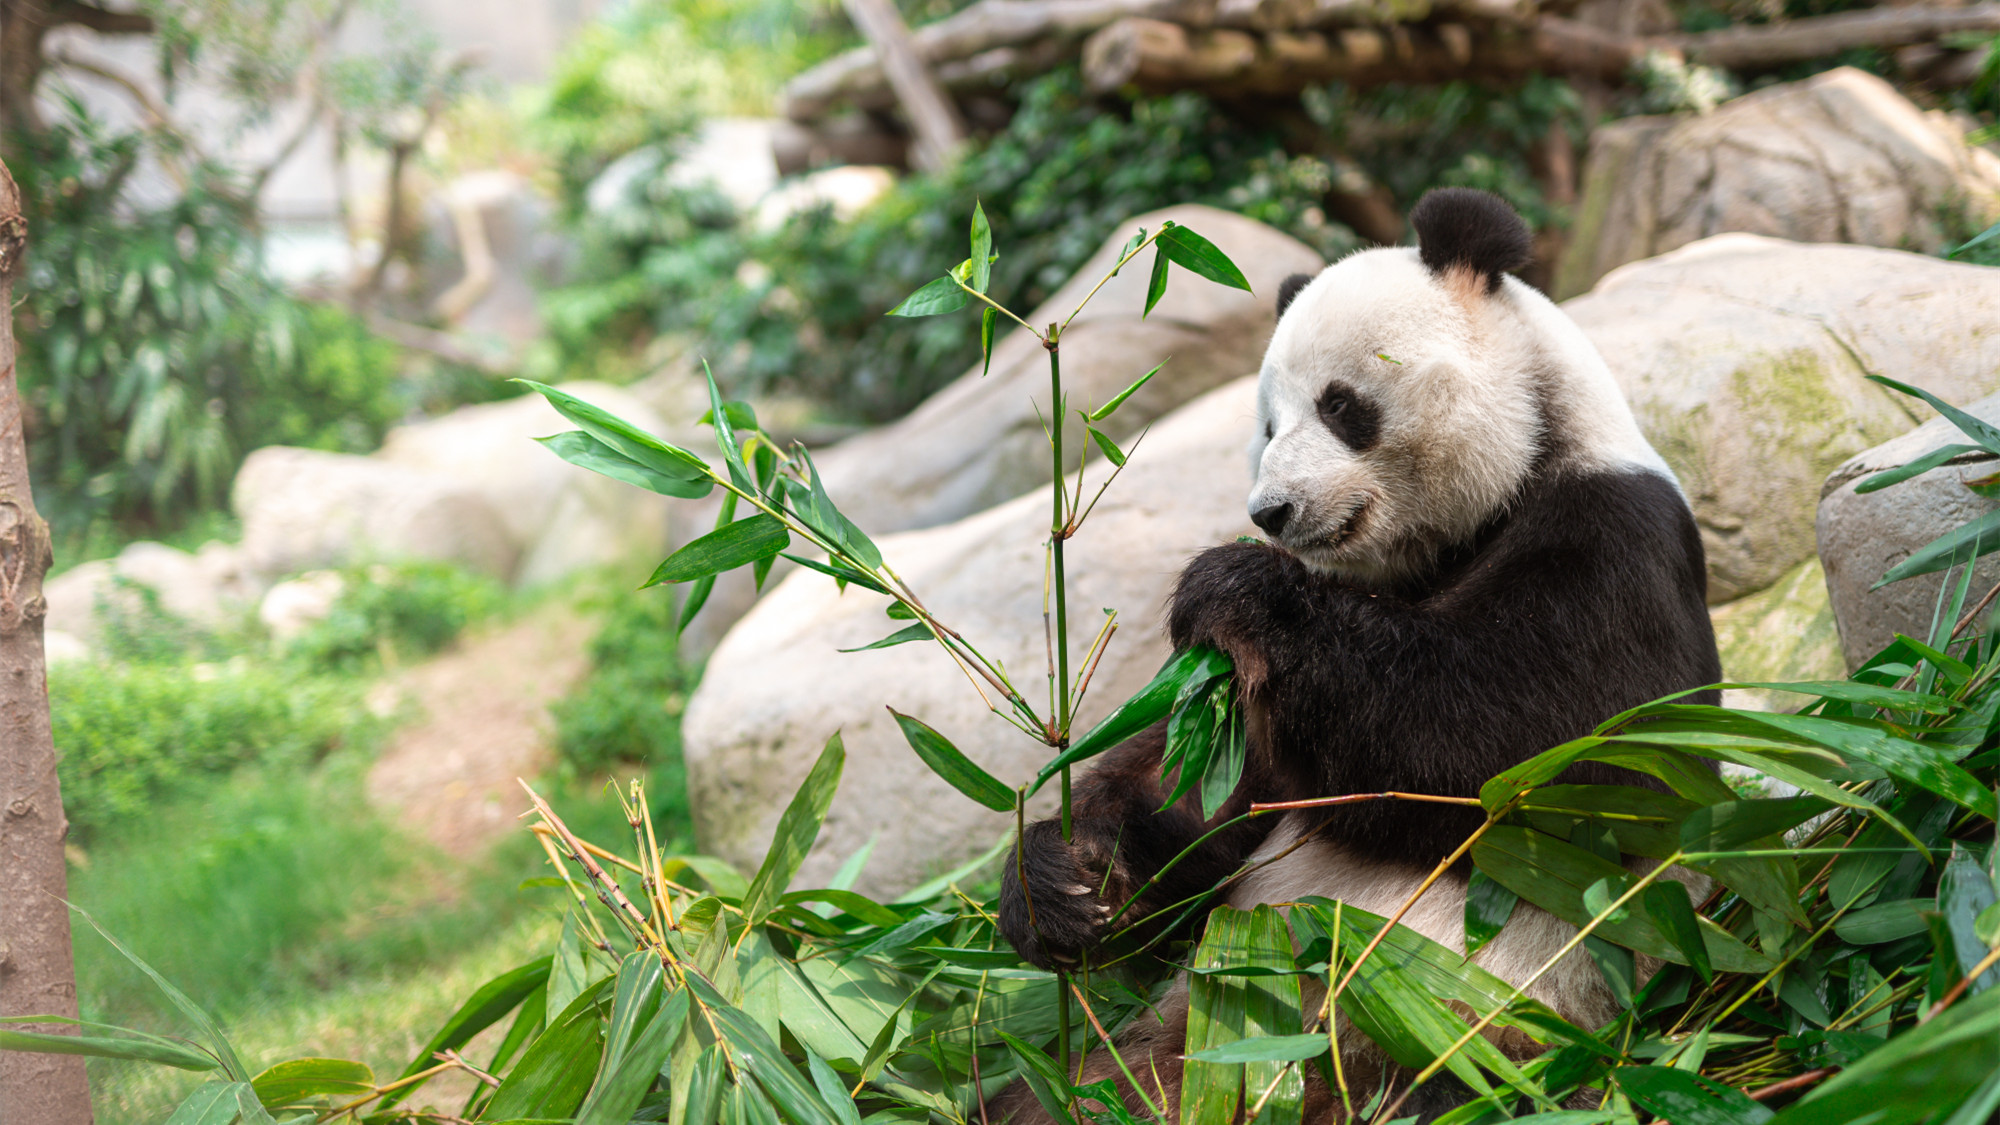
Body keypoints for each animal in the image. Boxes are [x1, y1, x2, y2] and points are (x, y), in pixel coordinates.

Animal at [992, 188, 1728, 1112]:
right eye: (1268, 424)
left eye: (1341, 405)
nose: (1271, 511)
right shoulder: (1267, 709)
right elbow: (1205, 790)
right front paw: (1067, 878)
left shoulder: (1615, 546)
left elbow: (1523, 751)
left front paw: (1232, 585)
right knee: (1039, 1093)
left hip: (1467, 1035)